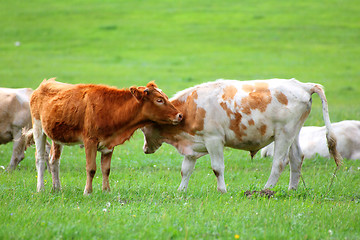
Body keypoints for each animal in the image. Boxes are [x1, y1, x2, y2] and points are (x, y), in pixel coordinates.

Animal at [141, 79, 344, 192]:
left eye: (143, 128)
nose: (144, 149)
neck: (190, 109)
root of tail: (303, 86)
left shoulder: (214, 140)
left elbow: (217, 168)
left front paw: (222, 190)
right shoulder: (193, 146)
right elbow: (186, 170)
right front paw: (181, 190)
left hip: (284, 134)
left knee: (279, 162)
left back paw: (266, 190)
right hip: (294, 133)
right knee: (296, 158)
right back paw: (292, 189)